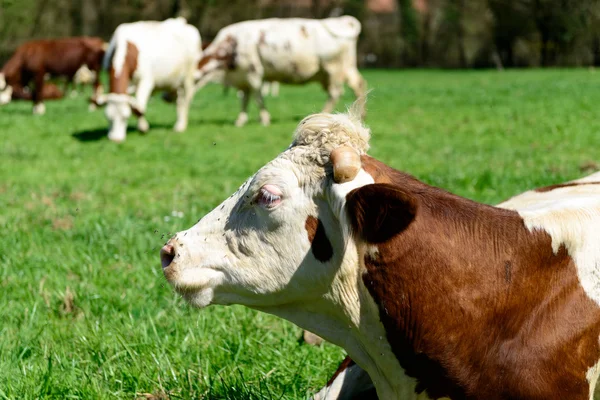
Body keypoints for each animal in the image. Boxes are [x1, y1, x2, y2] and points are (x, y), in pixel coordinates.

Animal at [196, 16, 366, 126]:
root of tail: (344, 20)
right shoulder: (242, 77)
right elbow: (244, 99)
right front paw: (241, 120)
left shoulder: (254, 73)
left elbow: (257, 98)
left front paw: (264, 119)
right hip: (347, 68)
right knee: (359, 85)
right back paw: (360, 116)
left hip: (333, 70)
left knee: (335, 93)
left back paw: (324, 114)